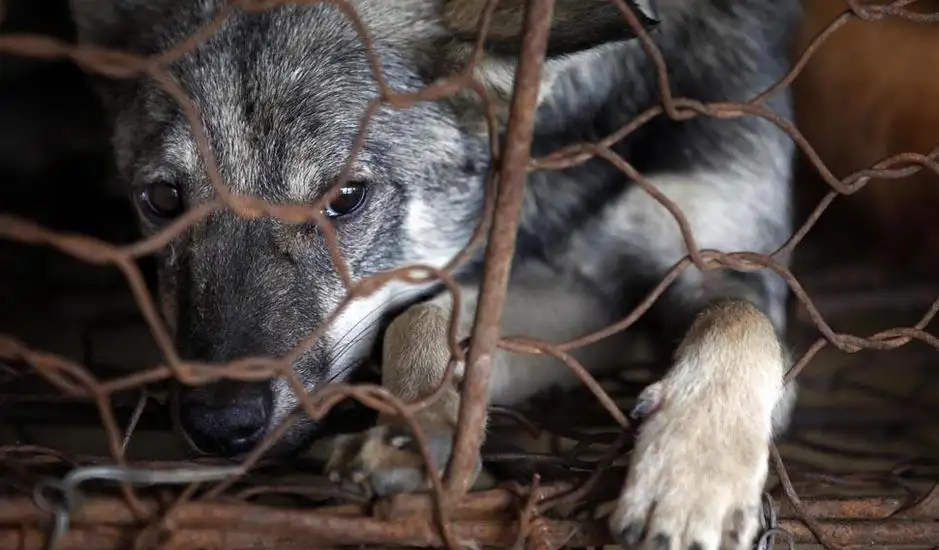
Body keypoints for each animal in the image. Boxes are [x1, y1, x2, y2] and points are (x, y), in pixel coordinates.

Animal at [68, 1, 800, 548]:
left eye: (345, 198)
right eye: (162, 200)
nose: (220, 426)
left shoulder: (717, 263)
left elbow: (736, 318)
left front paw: (691, 474)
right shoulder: (573, 301)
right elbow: (424, 317)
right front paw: (416, 429)